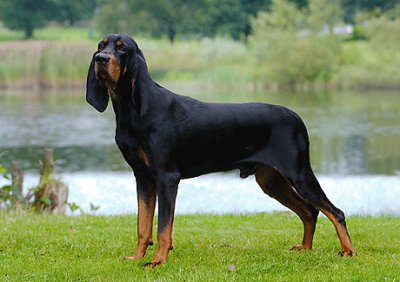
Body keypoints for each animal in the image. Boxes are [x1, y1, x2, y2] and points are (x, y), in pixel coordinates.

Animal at [86, 34, 354, 268]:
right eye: (101, 44)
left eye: (122, 48)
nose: (100, 58)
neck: (131, 111)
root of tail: (298, 118)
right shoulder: (143, 177)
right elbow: (143, 226)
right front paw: (137, 257)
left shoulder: (166, 177)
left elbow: (163, 228)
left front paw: (158, 261)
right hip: (271, 180)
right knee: (309, 212)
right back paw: (305, 248)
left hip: (298, 173)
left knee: (335, 212)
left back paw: (349, 251)